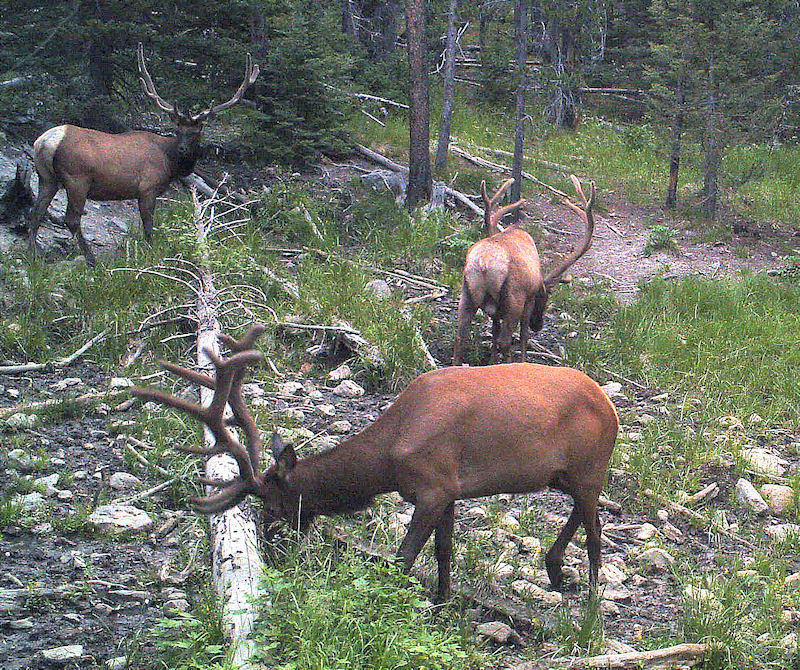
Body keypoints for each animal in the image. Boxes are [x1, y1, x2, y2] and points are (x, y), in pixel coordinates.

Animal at [28, 43, 259, 265]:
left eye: (196, 133)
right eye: (178, 130)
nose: (183, 149)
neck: (169, 161)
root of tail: (46, 141)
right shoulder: (148, 188)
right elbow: (148, 227)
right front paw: (151, 254)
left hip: (46, 177)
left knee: (36, 212)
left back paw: (35, 253)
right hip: (77, 179)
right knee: (71, 219)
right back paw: (91, 259)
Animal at [132, 324, 619, 603]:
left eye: (273, 505)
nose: (269, 553)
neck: (388, 459)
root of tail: (611, 407)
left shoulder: (433, 487)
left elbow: (404, 558)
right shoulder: (450, 491)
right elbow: (443, 553)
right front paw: (442, 604)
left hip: (590, 466)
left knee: (597, 529)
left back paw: (591, 598)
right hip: (562, 475)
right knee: (585, 513)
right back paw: (554, 568)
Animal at [453, 175, 595, 366]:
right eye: (545, 297)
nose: (538, 325)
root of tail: (484, 263)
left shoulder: (497, 311)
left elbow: (494, 331)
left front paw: (491, 362)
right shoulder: (528, 299)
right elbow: (523, 335)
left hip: (466, 293)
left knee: (460, 337)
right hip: (514, 299)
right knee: (505, 341)